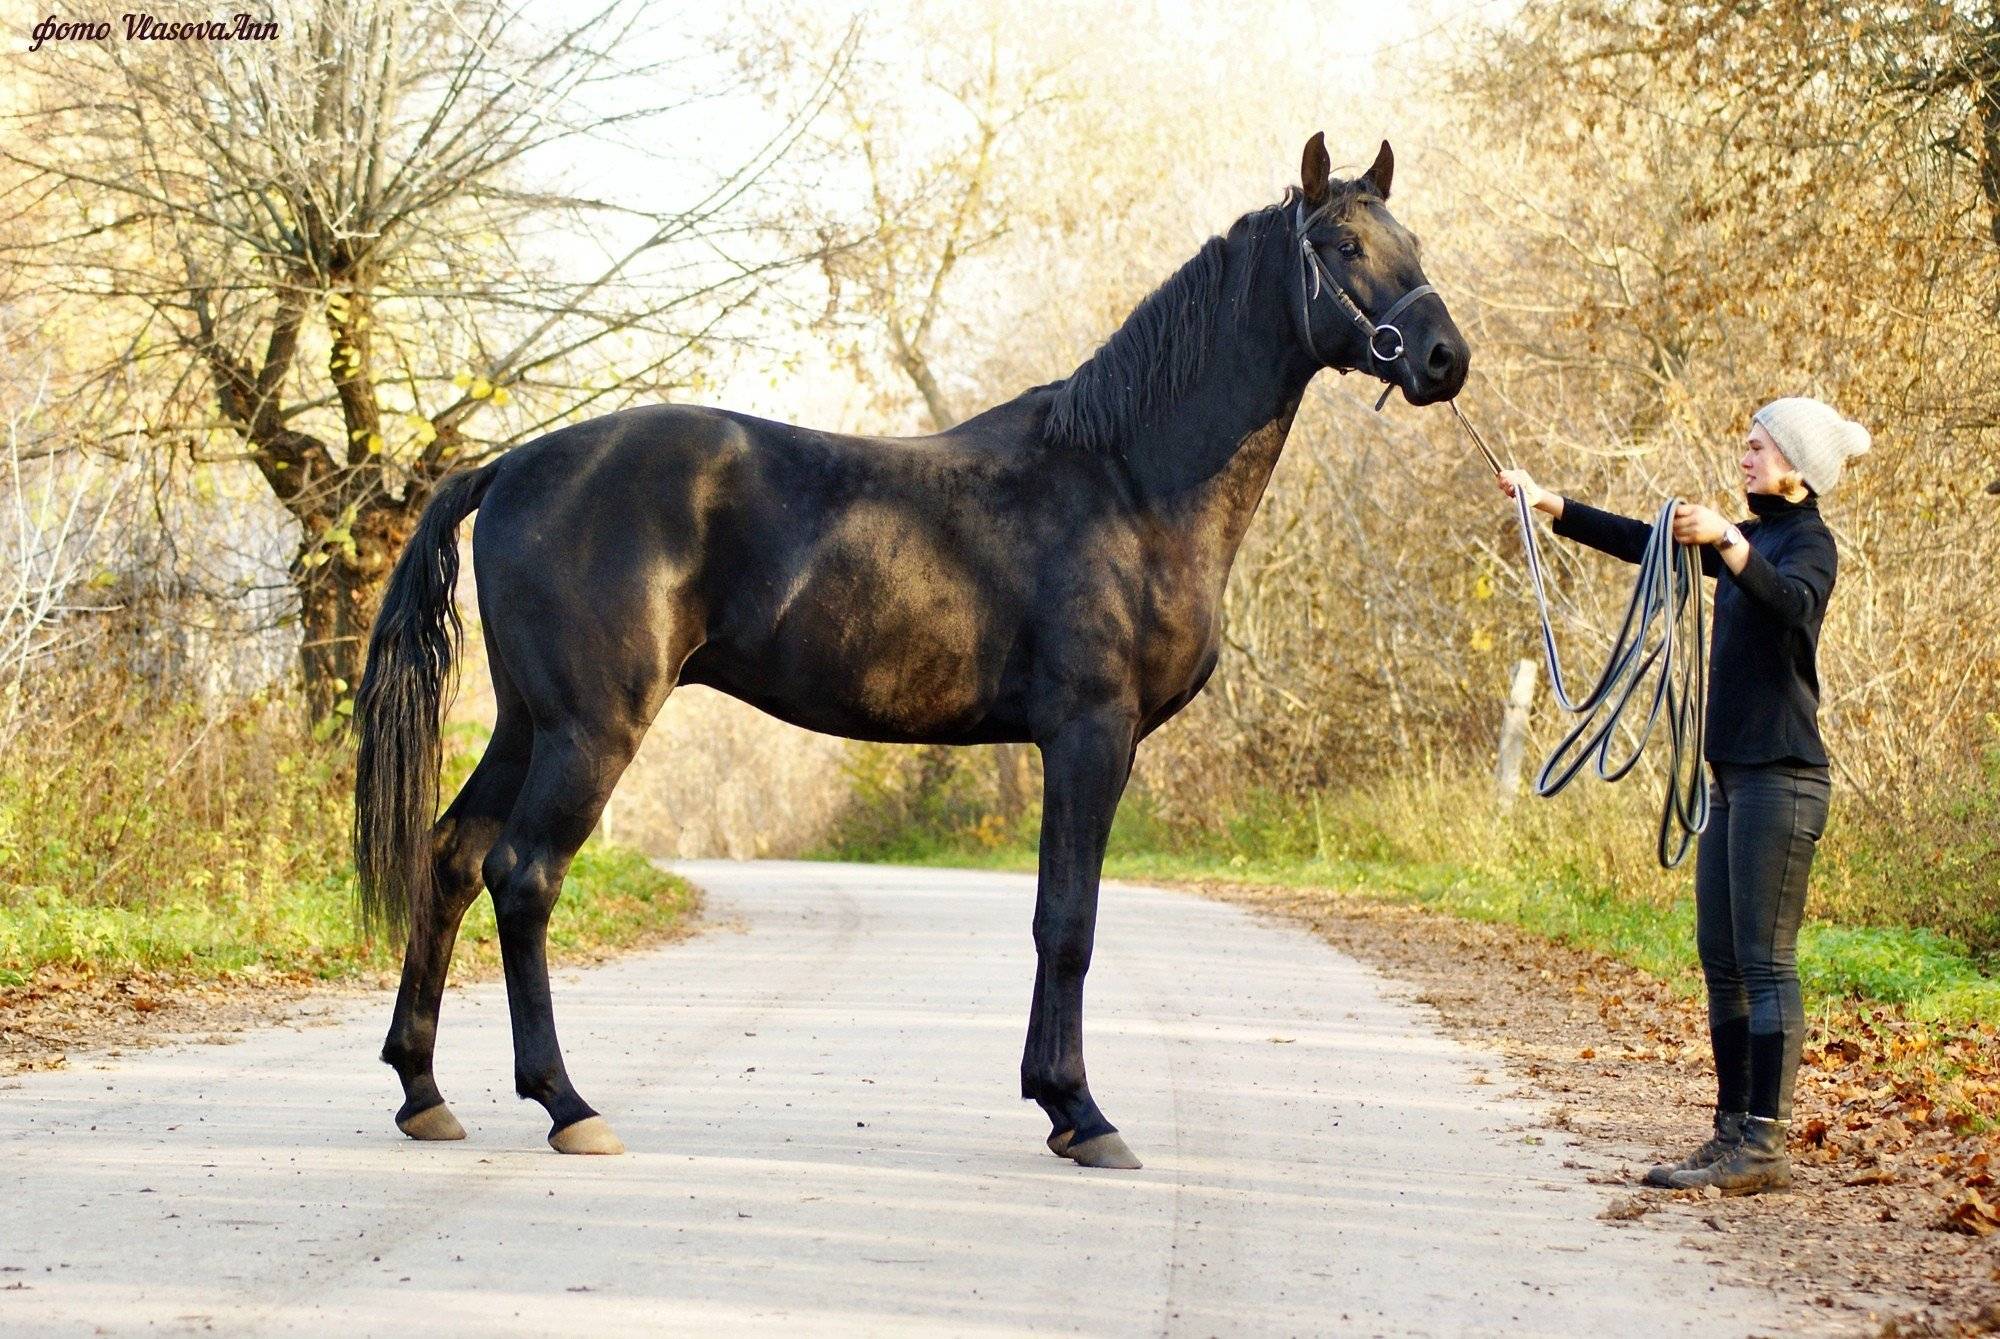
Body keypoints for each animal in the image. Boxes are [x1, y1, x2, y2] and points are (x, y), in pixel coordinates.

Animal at [356, 130, 1472, 1167]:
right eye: (1340, 244)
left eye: (1413, 241)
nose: (1442, 359)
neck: (1127, 481)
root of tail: (511, 467)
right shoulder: (1089, 735)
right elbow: (1066, 922)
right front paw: (1080, 1110)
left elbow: (1058, 916)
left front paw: (1058, 1103)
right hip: (591, 728)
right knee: (523, 874)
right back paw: (567, 1104)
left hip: (528, 722)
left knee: (449, 857)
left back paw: (422, 1090)